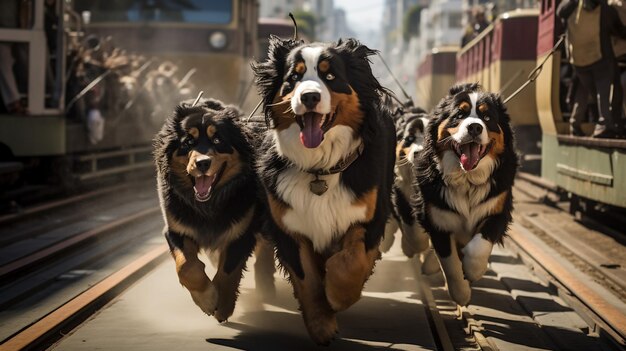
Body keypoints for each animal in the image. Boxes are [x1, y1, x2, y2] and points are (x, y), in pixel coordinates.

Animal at [152, 97, 272, 324]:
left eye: (217, 140)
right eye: (187, 142)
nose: (202, 163)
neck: (208, 205)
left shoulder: (241, 231)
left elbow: (228, 270)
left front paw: (223, 304)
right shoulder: (176, 229)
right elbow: (186, 267)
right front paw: (207, 299)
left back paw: (265, 284)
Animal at [251, 36, 392, 346]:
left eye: (330, 77)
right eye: (293, 78)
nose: (309, 97)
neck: (321, 169)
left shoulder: (369, 218)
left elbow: (350, 261)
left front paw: (338, 295)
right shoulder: (290, 228)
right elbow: (309, 281)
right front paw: (321, 325)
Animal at [410, 83, 516, 308]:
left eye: (487, 117)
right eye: (459, 114)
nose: (475, 127)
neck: (467, 179)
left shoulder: (498, 210)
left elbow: (480, 244)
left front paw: (473, 269)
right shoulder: (437, 219)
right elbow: (449, 263)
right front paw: (461, 294)